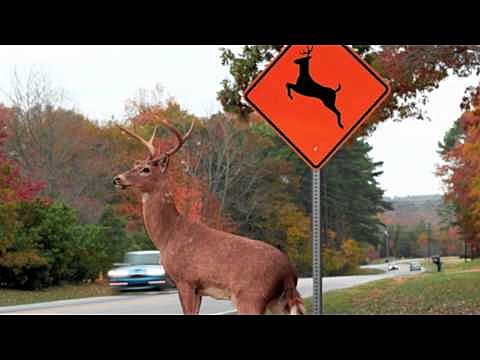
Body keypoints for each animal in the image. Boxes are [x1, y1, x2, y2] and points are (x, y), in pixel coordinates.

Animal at [113, 119, 304, 316]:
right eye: (135, 165)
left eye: (146, 169)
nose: (117, 179)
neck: (168, 235)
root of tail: (289, 272)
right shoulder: (199, 289)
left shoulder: (186, 280)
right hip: (279, 303)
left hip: (251, 296)